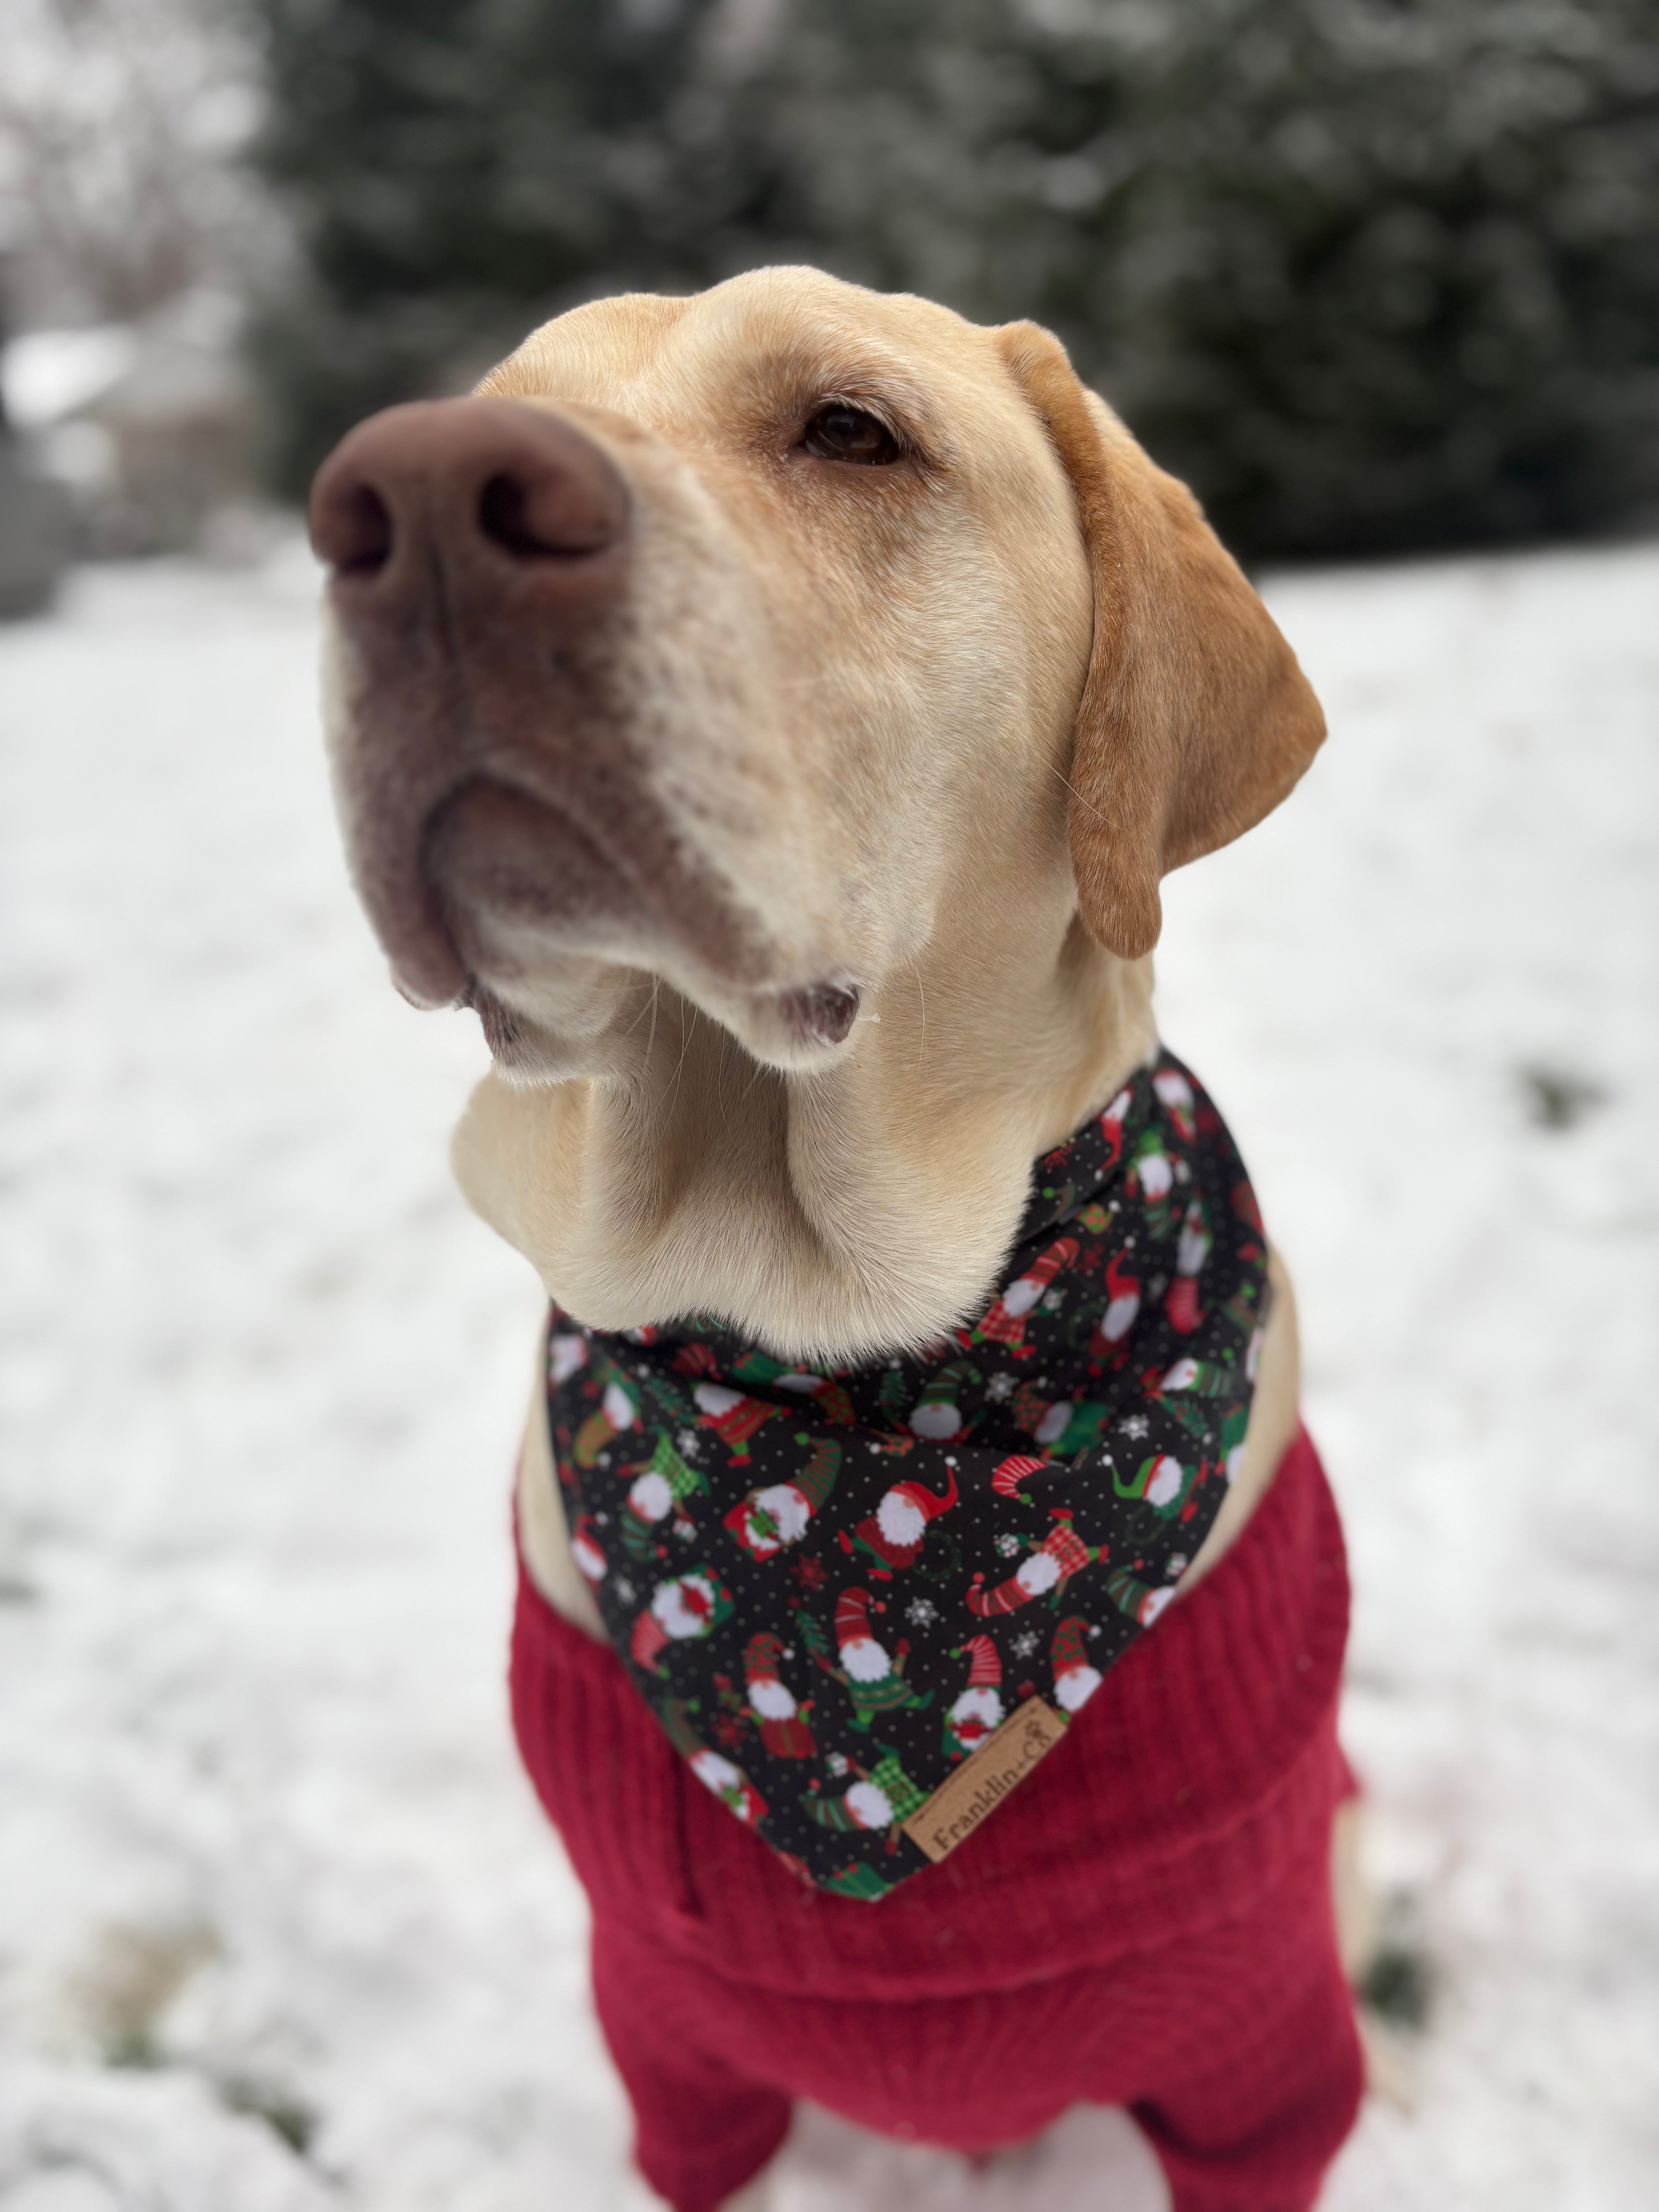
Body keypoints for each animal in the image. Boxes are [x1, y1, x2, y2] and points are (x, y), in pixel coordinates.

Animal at [310, 267, 1365, 2212]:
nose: (406, 502)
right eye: (487, 400)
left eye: (851, 430)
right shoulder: (674, 2057)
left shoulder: (1263, 2042)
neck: (840, 1373)